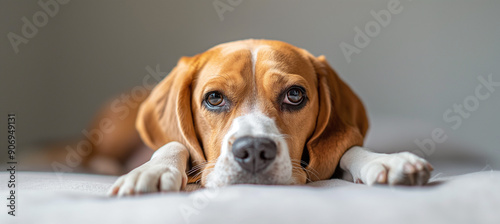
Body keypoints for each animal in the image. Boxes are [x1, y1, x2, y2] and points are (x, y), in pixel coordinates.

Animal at [107, 40, 432, 196]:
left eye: (294, 95)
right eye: (214, 98)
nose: (253, 150)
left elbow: (347, 148)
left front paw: (384, 161)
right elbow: (174, 144)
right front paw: (152, 171)